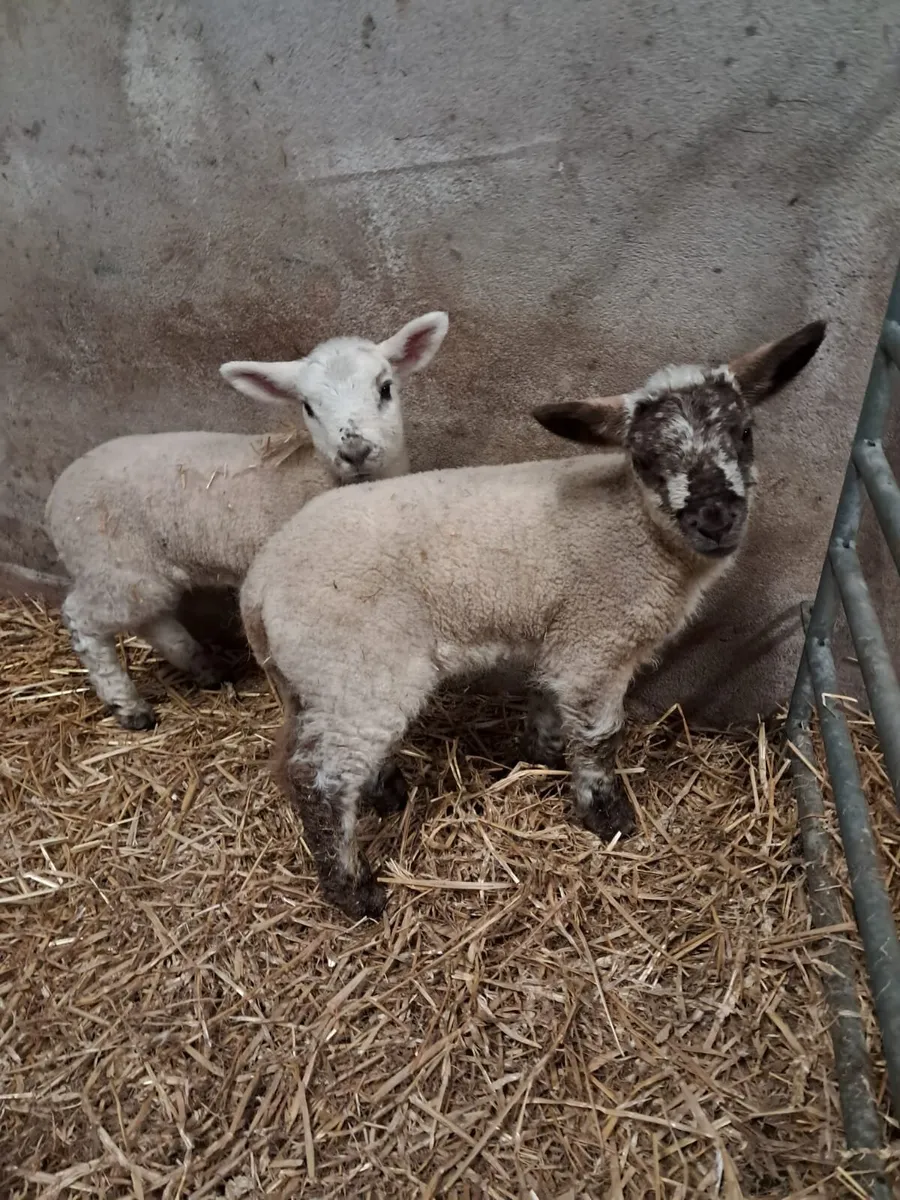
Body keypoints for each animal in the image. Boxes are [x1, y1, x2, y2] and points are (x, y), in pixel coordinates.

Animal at [45, 311, 449, 730]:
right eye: (308, 407)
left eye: (385, 388)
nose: (354, 451)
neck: (318, 475)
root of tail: (56, 498)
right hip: (111, 562)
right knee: (82, 619)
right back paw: (128, 706)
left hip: (136, 573)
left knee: (150, 619)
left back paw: (204, 667)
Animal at [240, 319, 825, 920]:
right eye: (644, 459)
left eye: (745, 433)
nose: (715, 518)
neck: (636, 525)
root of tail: (258, 587)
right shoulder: (597, 638)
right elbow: (598, 736)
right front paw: (607, 817)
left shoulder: (564, 634)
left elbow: (548, 704)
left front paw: (536, 760)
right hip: (357, 667)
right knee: (320, 781)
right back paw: (355, 890)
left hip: (315, 680)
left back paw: (385, 796)